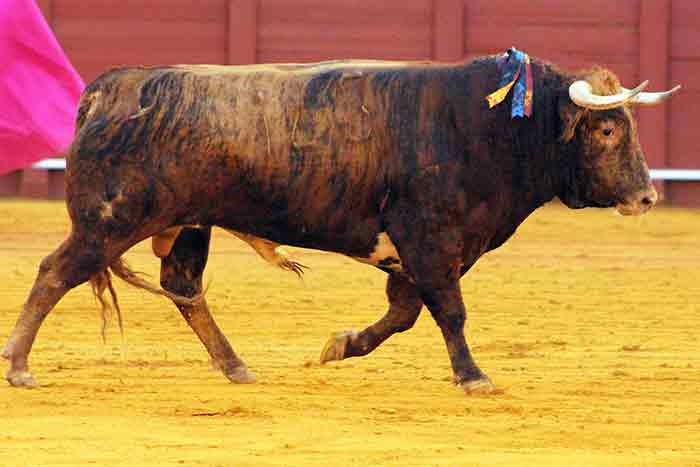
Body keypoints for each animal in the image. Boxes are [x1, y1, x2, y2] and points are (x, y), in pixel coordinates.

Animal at [0, 52, 680, 394]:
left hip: (188, 223)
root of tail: (111, 88)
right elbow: (449, 312)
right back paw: (20, 366)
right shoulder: (429, 238)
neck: (497, 125)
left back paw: (235, 367)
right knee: (55, 273)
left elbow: (404, 314)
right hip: (110, 220)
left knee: (183, 289)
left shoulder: (414, 253)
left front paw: (340, 345)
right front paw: (474, 377)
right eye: (608, 129)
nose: (648, 196)